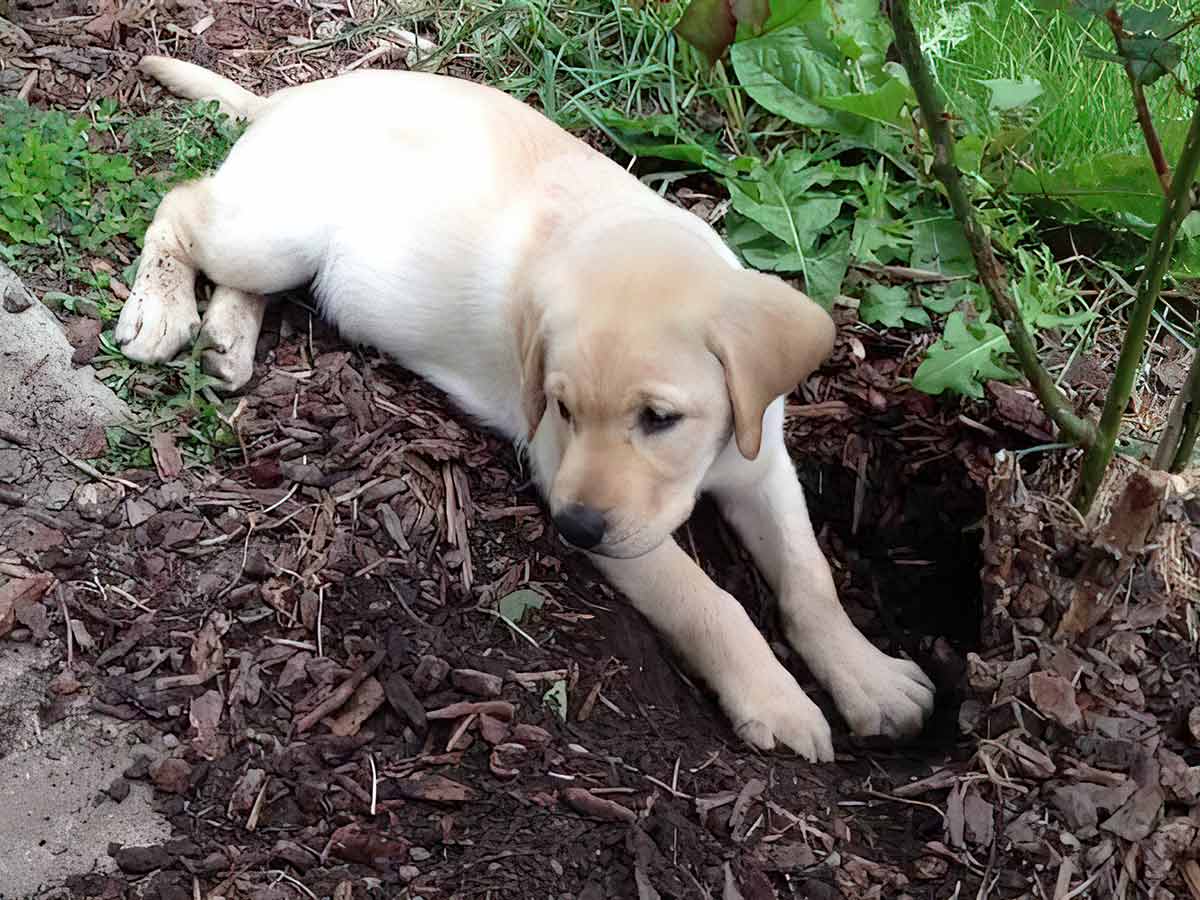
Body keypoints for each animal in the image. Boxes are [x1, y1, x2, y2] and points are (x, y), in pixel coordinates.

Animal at [114, 56, 936, 763]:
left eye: (661, 418)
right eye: (564, 410)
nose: (574, 529)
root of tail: (287, 99)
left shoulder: (761, 458)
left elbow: (808, 574)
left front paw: (869, 678)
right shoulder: (589, 498)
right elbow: (709, 603)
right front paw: (778, 700)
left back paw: (227, 339)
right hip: (275, 230)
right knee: (181, 204)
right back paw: (159, 310)